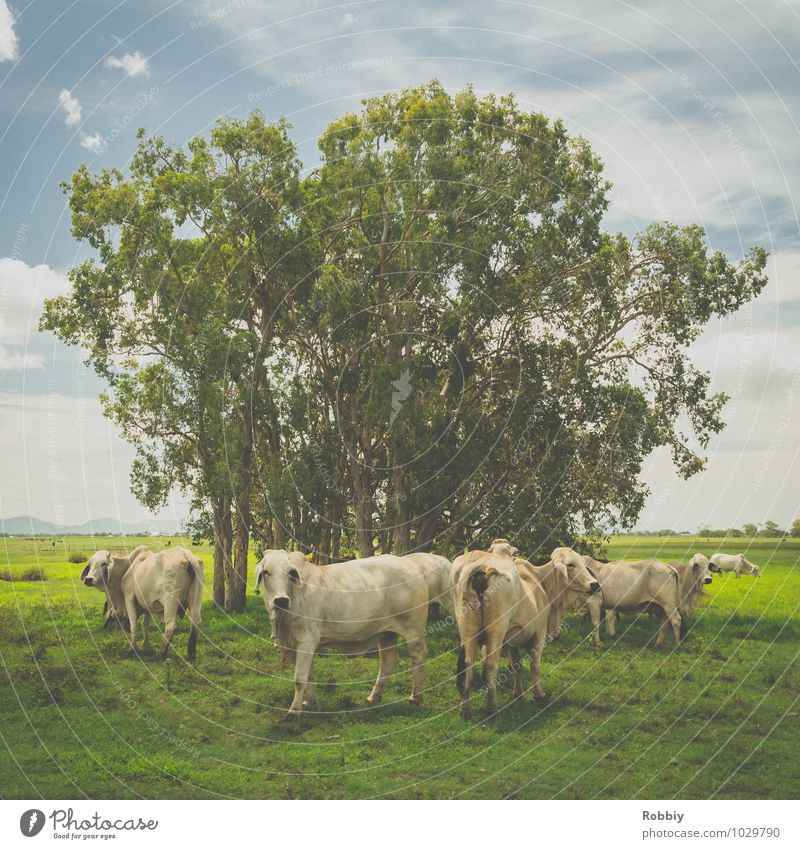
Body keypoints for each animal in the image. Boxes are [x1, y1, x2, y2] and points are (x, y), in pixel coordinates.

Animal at [256, 548, 432, 716]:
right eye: (266, 572)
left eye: (289, 572)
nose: (281, 600)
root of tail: (411, 564)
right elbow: (309, 675)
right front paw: (309, 702)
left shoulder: (307, 640)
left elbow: (300, 678)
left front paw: (293, 712)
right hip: (387, 634)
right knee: (388, 661)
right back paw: (373, 697)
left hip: (413, 630)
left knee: (418, 656)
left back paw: (415, 698)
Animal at [450, 544, 600, 716]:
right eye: (570, 565)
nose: (594, 584)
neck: (540, 581)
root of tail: (481, 566)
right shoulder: (539, 632)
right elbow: (535, 665)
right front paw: (538, 694)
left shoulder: (512, 638)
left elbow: (517, 665)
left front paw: (518, 693)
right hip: (496, 631)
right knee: (491, 665)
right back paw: (492, 707)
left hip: (468, 631)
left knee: (467, 665)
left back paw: (465, 708)